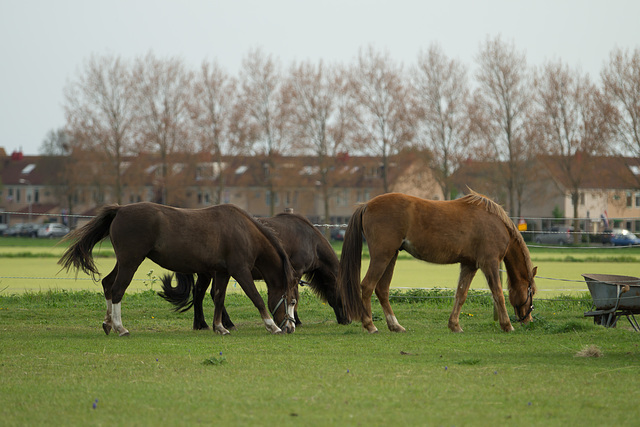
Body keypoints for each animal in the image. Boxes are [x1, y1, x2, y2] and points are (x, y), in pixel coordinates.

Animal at [57, 202, 298, 336]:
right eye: (292, 301)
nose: (290, 327)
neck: (244, 231)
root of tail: (120, 210)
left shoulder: (222, 272)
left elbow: (219, 298)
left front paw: (220, 327)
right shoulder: (240, 271)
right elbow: (256, 298)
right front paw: (272, 326)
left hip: (124, 261)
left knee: (108, 284)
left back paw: (108, 323)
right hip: (130, 261)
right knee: (117, 290)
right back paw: (120, 328)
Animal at [159, 212, 350, 330]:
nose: (347, 320)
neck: (309, 239)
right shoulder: (295, 271)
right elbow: (294, 296)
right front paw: (296, 320)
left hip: (207, 272)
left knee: (200, 294)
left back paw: (202, 324)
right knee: (209, 294)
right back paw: (223, 323)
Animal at [338, 193, 536, 334]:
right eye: (531, 292)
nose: (528, 320)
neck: (496, 223)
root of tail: (366, 205)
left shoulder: (469, 265)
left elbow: (461, 294)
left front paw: (454, 325)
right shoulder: (490, 263)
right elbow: (498, 294)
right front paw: (507, 325)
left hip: (391, 257)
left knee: (382, 289)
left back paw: (395, 326)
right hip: (382, 256)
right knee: (367, 286)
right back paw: (370, 325)